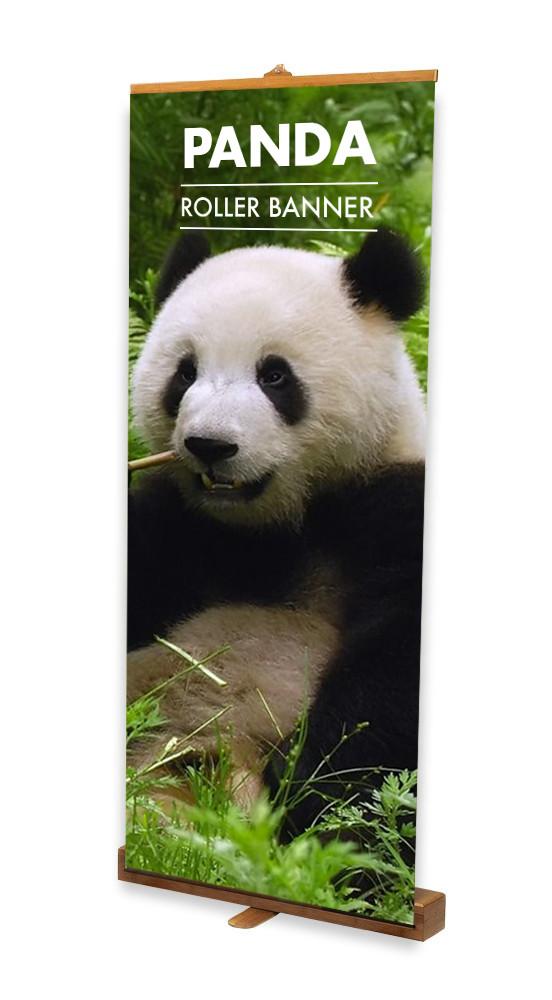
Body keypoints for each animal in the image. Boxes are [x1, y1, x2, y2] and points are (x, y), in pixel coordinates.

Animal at [127, 228, 426, 836]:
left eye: (274, 375)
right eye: (185, 372)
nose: (210, 445)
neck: (280, 522)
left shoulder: (395, 506)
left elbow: (391, 679)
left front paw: (308, 792)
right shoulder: (179, 524)